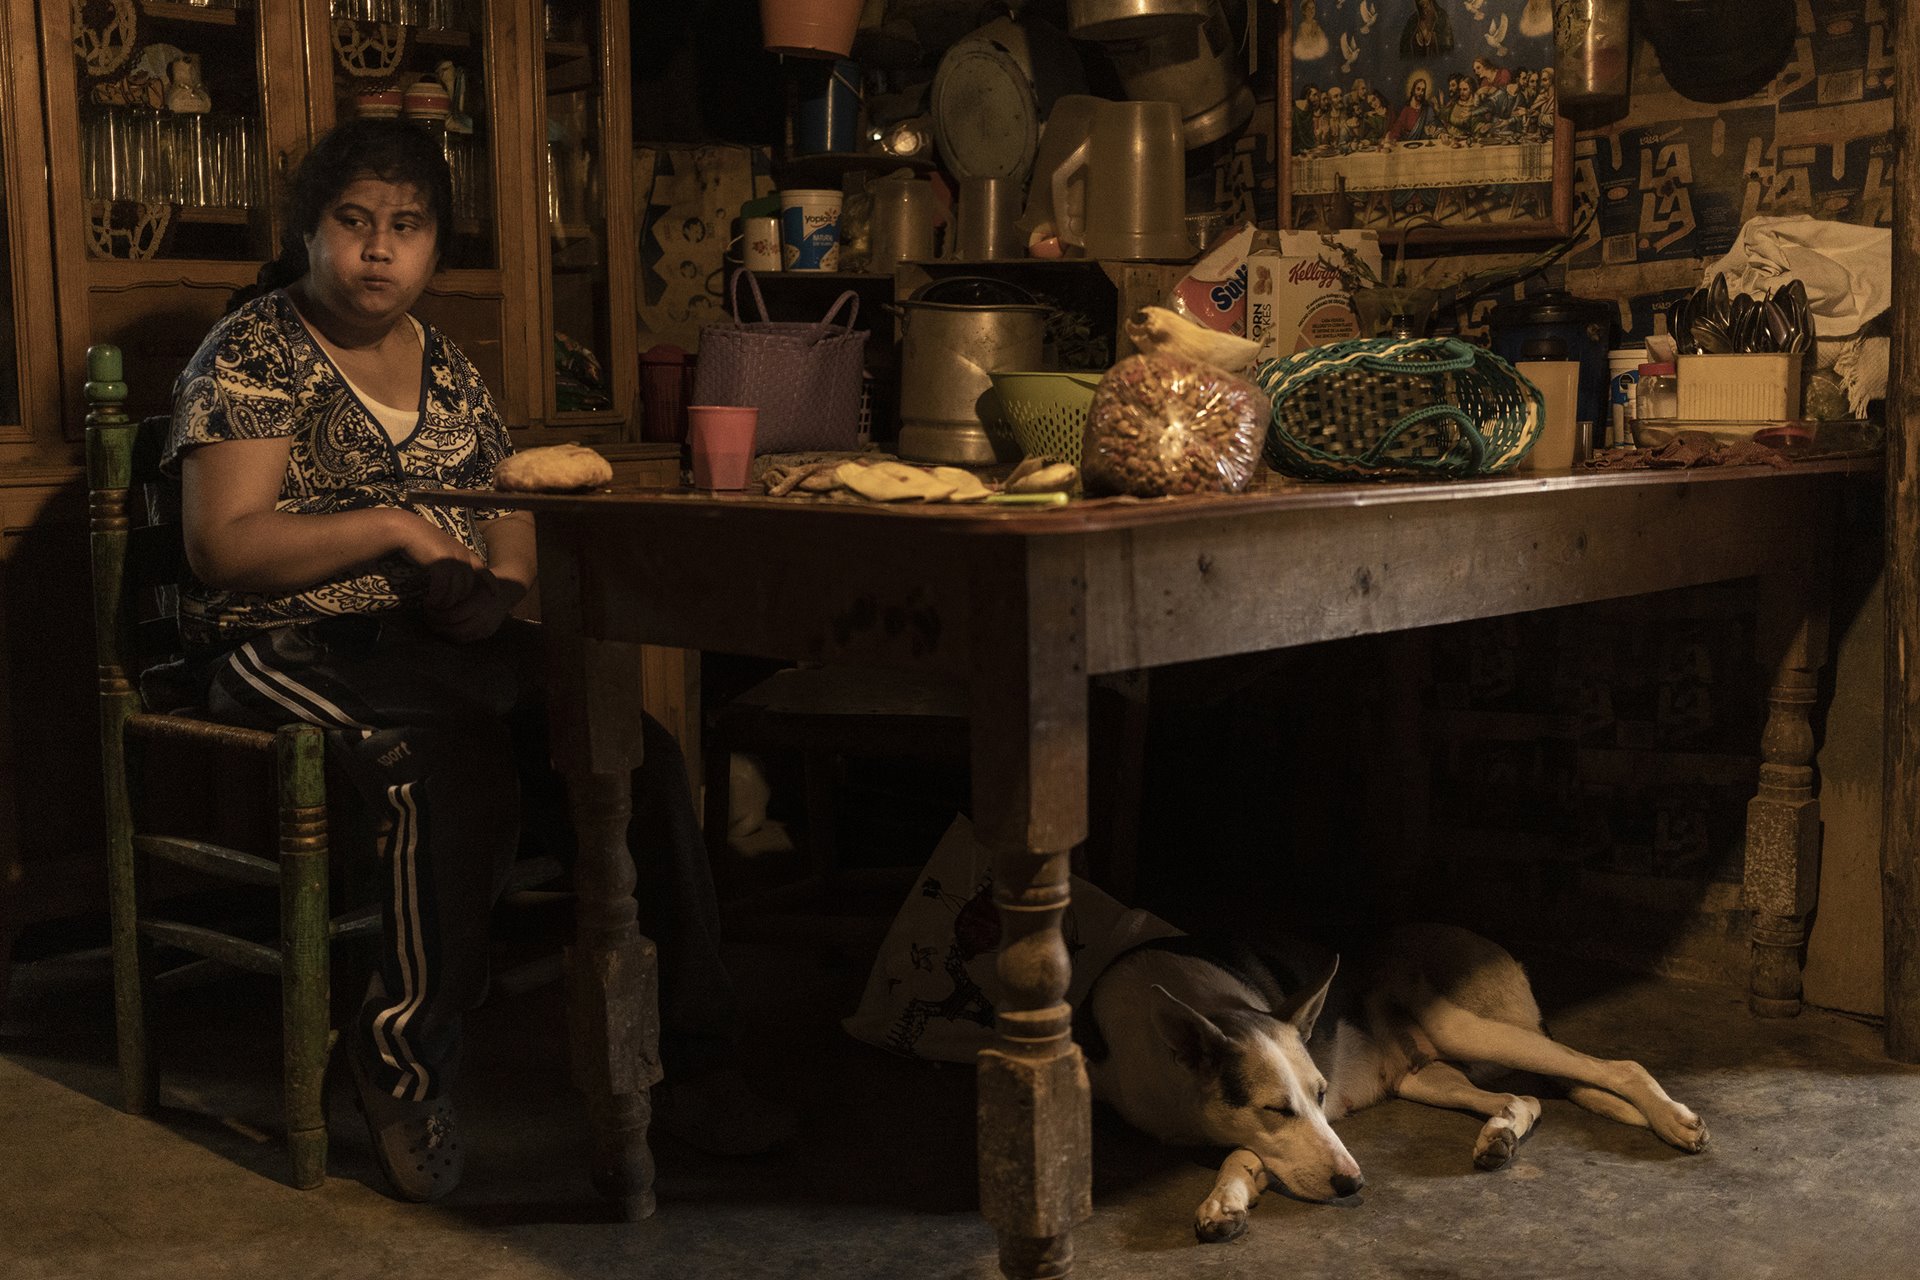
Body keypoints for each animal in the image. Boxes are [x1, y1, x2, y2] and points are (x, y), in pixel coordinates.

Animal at [1082, 924, 1712, 1243]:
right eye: (1275, 1109)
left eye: (1320, 1094)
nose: (1355, 1185)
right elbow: (1253, 1147)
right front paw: (1229, 1199)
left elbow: (1243, 1150)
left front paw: (1223, 1196)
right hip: (1423, 1077)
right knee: (1526, 1095)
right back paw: (1500, 1134)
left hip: (1467, 1029)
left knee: (1615, 1067)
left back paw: (1673, 1120)